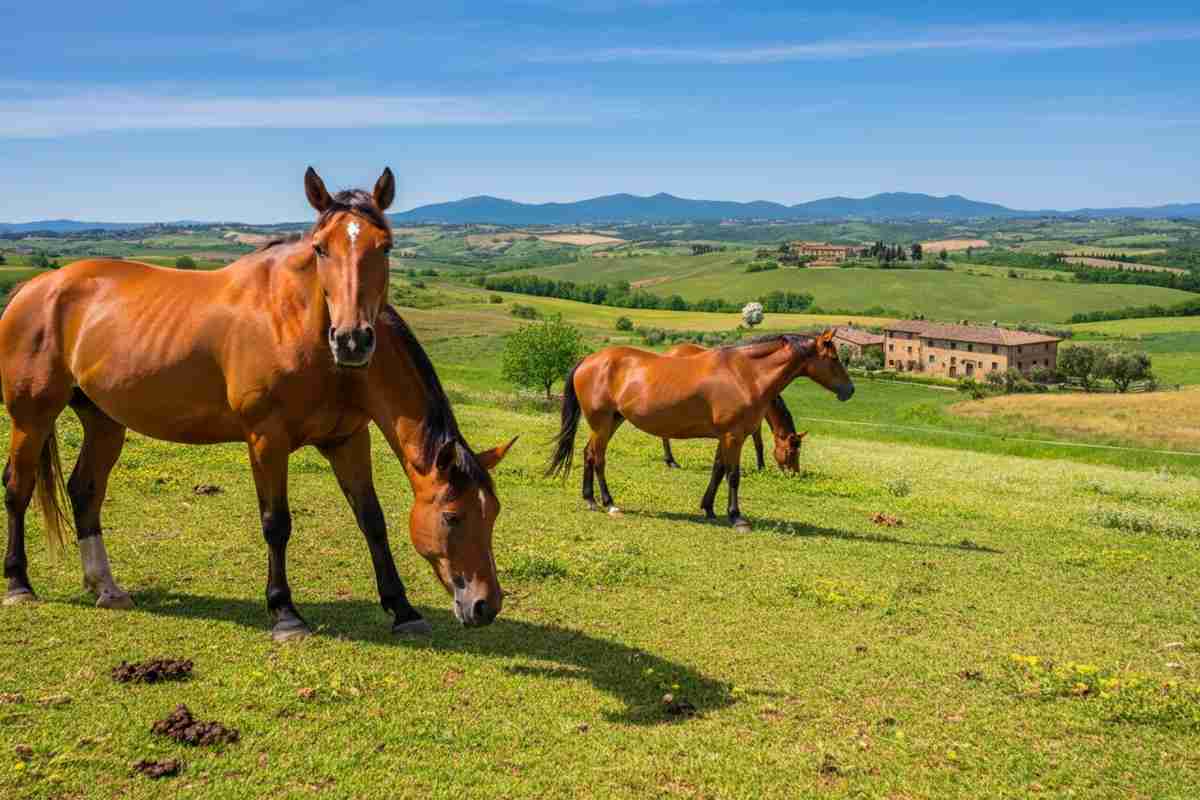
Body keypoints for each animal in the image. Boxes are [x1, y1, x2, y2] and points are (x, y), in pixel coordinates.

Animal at [0, 167, 515, 641]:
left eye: (385, 247)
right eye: (452, 516)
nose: (485, 605)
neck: (298, 327)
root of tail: (35, 287)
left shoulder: (348, 439)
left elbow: (372, 520)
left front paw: (402, 609)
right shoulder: (266, 439)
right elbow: (276, 523)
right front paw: (285, 613)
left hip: (104, 421)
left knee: (85, 490)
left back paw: (105, 587)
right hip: (32, 416)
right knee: (18, 488)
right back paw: (19, 584)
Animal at [657, 343, 806, 473]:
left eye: (799, 452)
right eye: (790, 451)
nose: (795, 473)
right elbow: (759, 443)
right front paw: (761, 467)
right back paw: (671, 461)